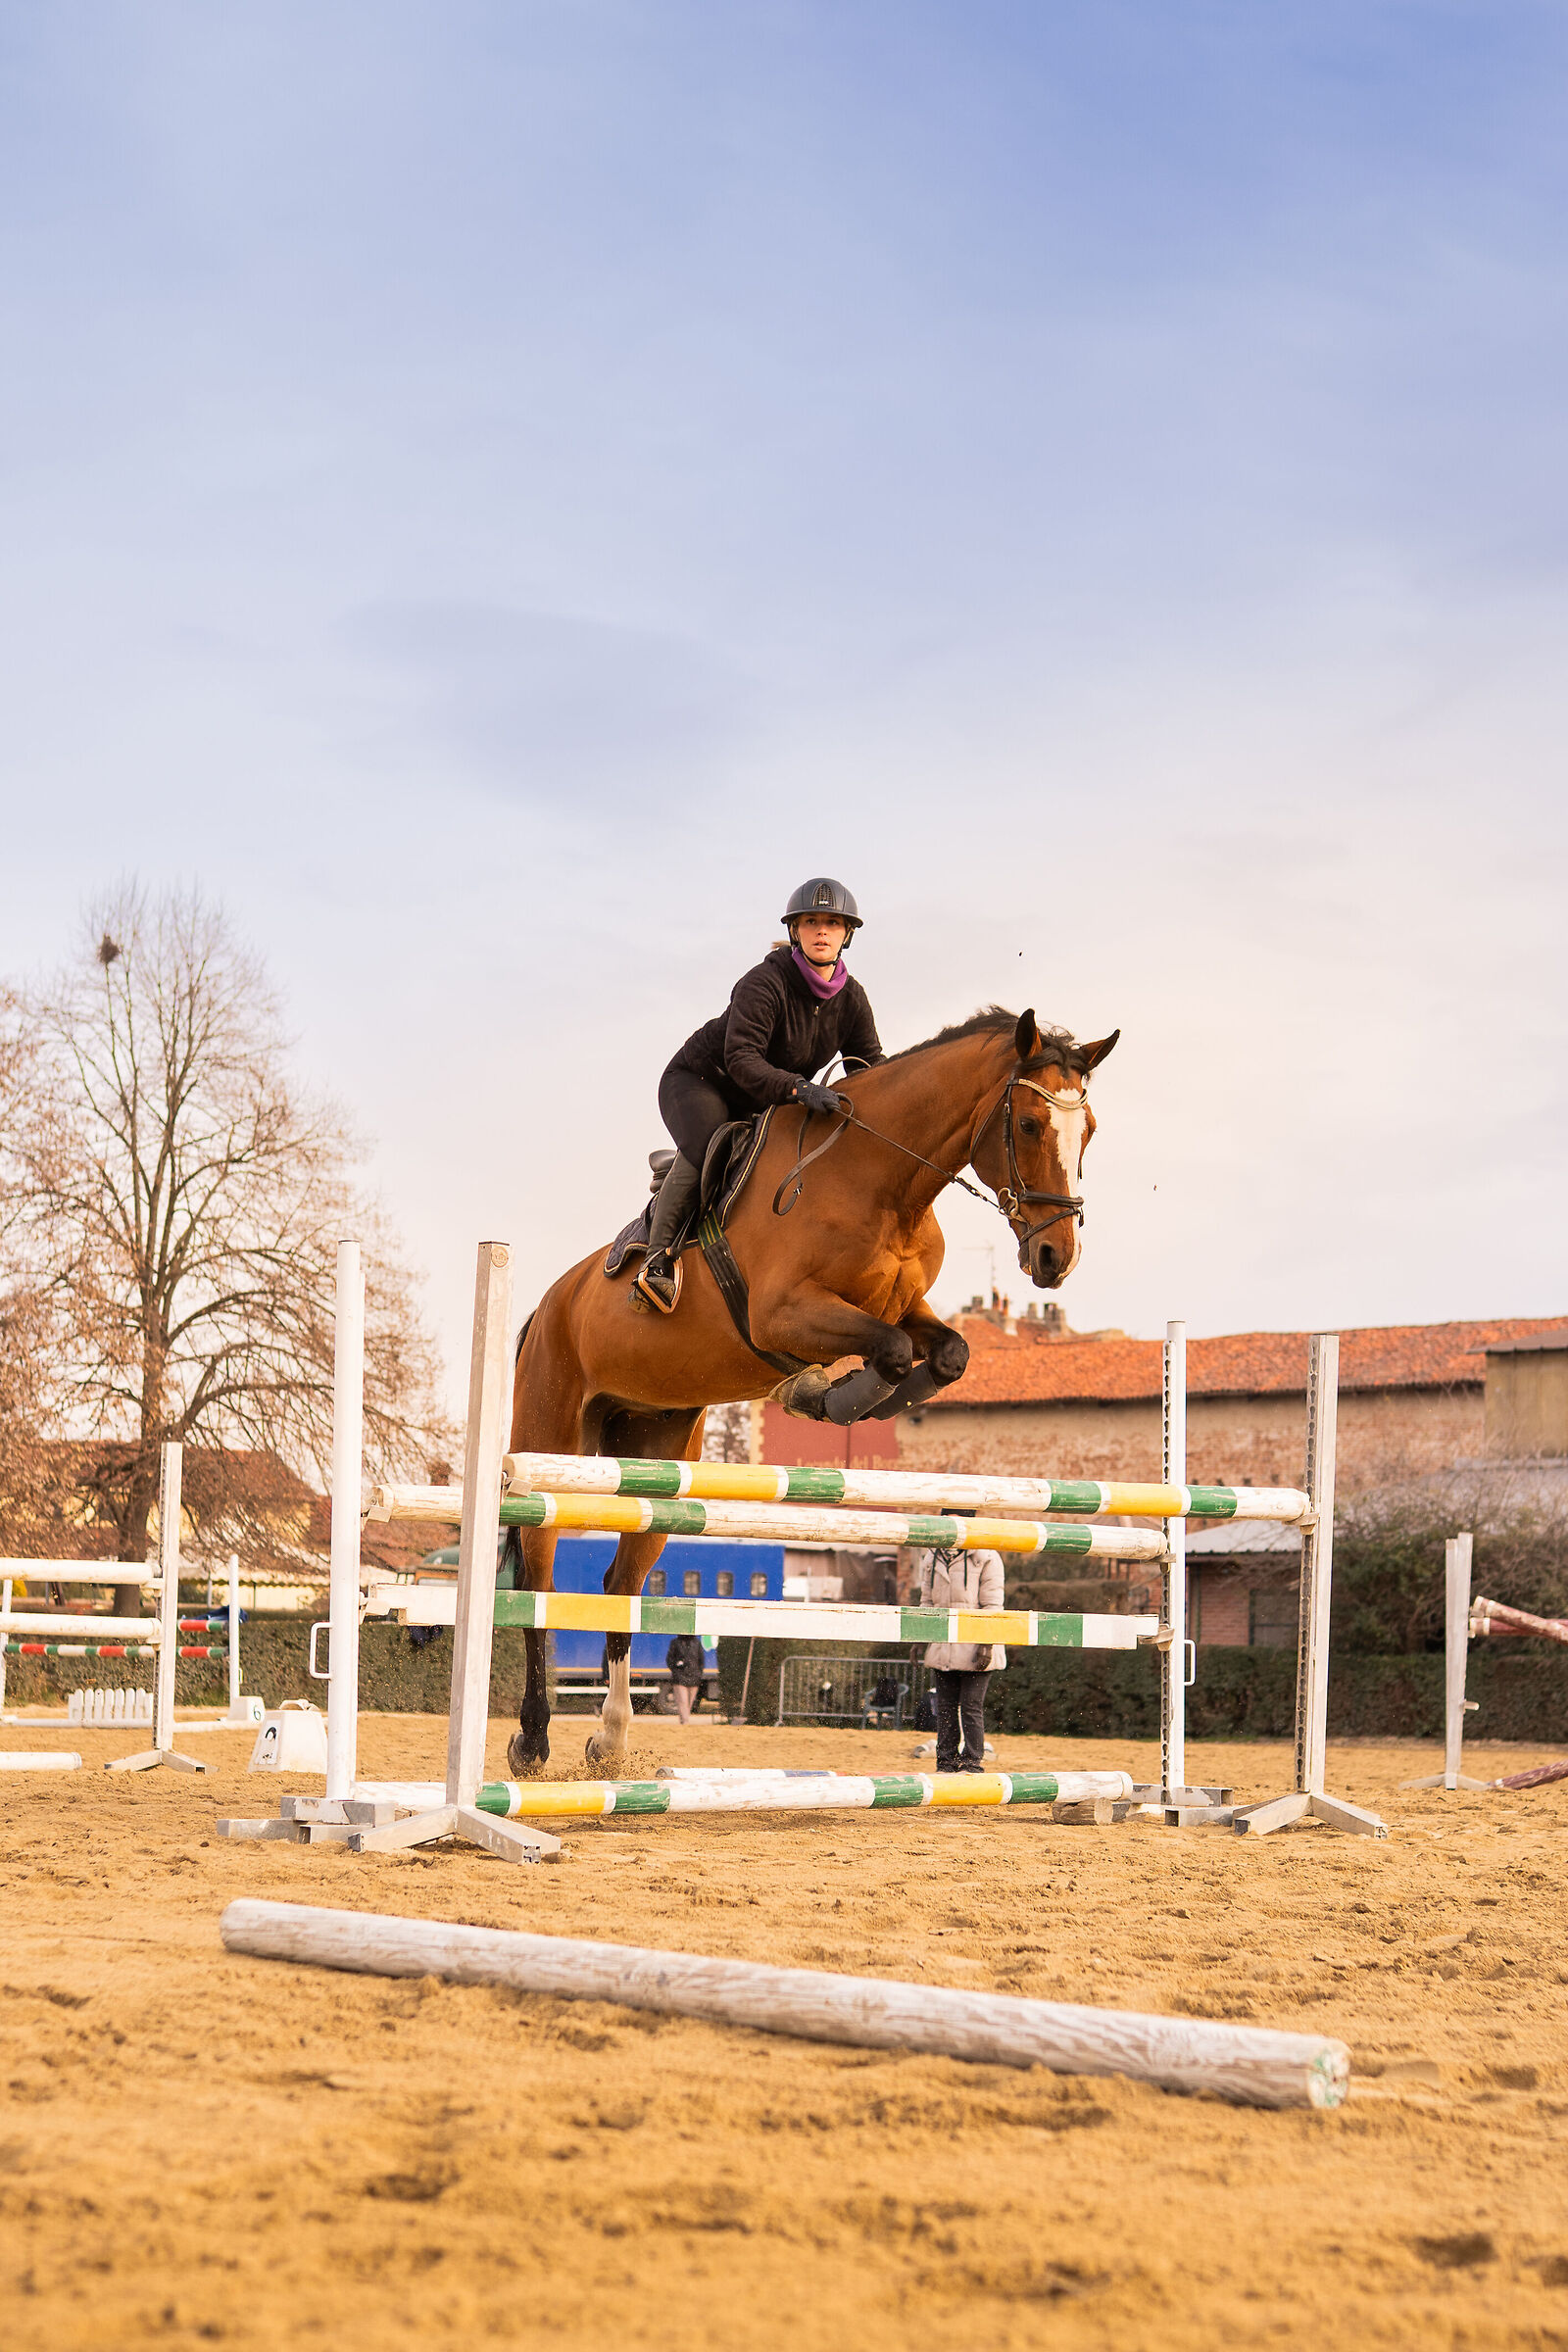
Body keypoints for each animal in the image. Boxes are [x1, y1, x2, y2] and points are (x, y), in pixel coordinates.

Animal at [505, 1007, 1118, 1771]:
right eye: (1031, 1124)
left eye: (1087, 1128)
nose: (1055, 1258)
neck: (879, 1180)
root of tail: (546, 1306)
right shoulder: (784, 1313)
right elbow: (888, 1352)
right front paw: (815, 1392)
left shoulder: (902, 1310)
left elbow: (946, 1353)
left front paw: (835, 1395)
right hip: (550, 1438)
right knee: (538, 1577)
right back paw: (532, 1740)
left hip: (658, 1456)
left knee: (621, 1584)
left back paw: (611, 1742)